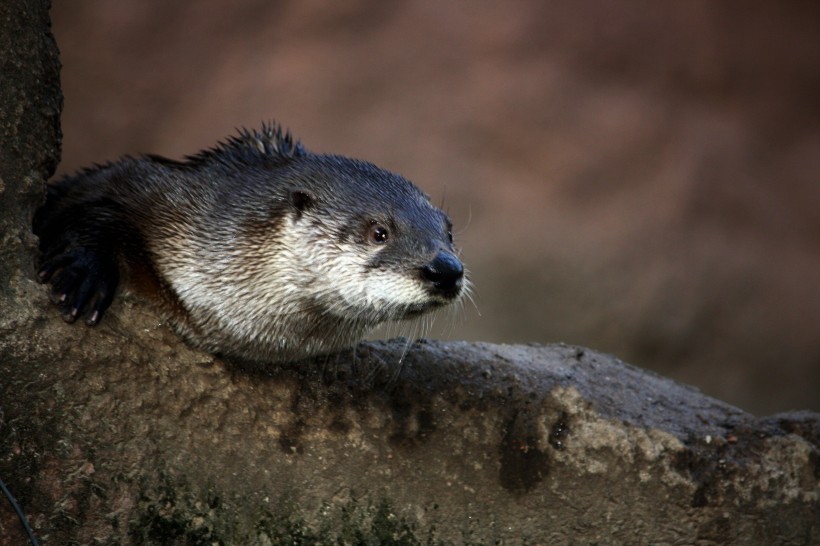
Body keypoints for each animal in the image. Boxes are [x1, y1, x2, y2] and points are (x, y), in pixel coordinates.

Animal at [32, 123, 464, 362]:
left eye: (448, 231)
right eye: (379, 232)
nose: (446, 269)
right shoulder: (148, 188)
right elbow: (95, 202)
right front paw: (84, 274)